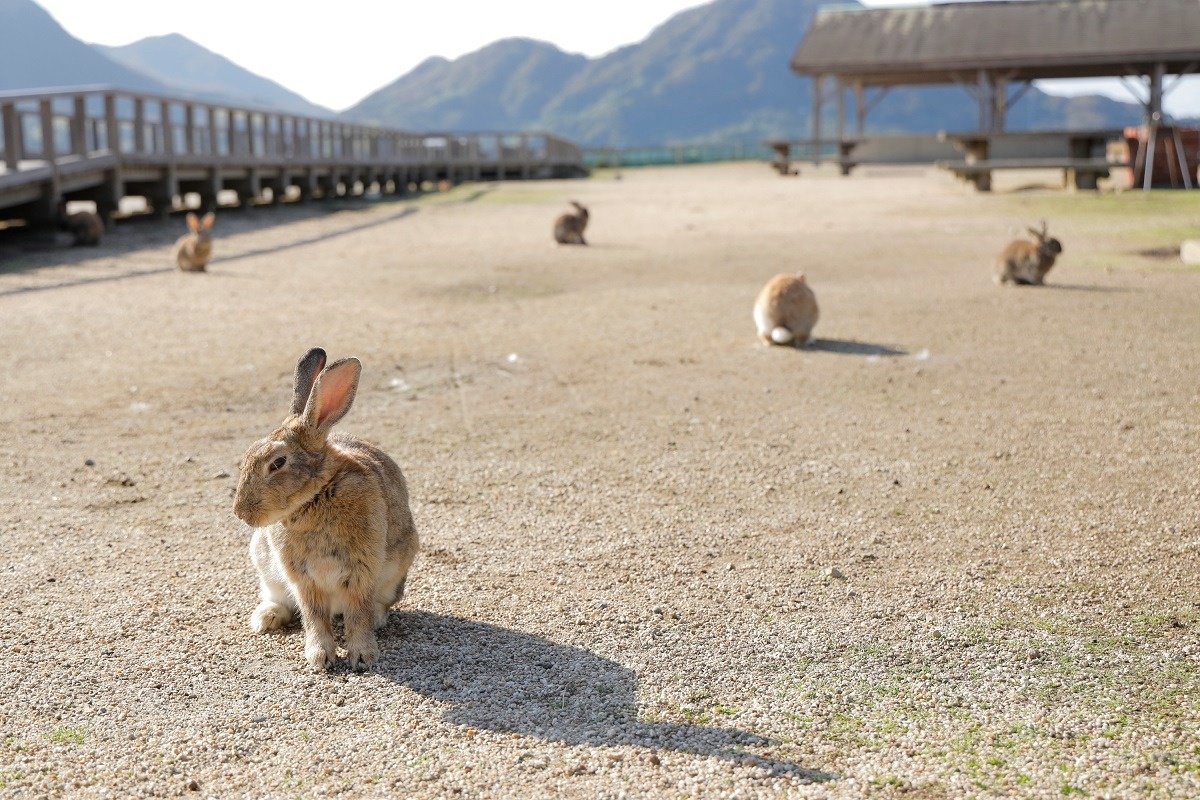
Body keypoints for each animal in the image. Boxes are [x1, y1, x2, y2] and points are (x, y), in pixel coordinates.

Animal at [231, 347, 420, 671]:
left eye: (277, 463)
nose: (240, 512)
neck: (317, 496)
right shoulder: (303, 578)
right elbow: (313, 616)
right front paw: (320, 657)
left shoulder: (361, 570)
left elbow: (358, 614)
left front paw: (363, 656)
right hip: (266, 567)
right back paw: (266, 619)